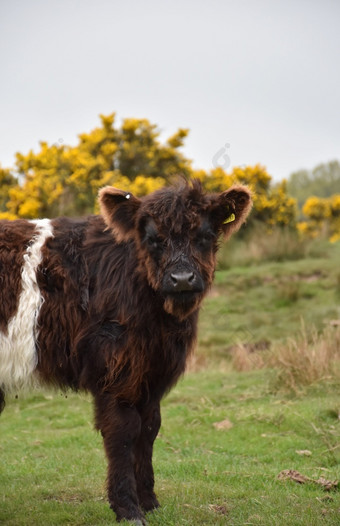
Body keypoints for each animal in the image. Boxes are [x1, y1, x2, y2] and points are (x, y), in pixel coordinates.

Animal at [0, 180, 252, 524]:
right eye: (153, 238)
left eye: (204, 235)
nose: (182, 279)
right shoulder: (116, 372)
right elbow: (123, 431)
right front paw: (128, 508)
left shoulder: (152, 374)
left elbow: (149, 429)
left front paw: (150, 502)